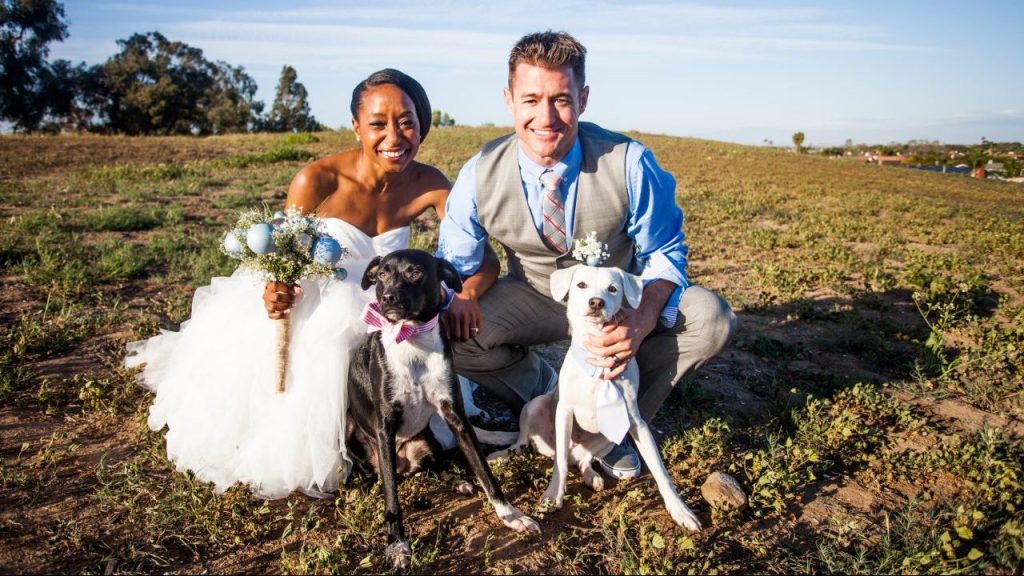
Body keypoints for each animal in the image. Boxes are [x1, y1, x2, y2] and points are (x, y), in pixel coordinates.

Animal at [348, 249, 540, 565]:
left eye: (415, 272)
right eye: (382, 274)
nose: (388, 297)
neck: (412, 340)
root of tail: (405, 467)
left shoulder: (454, 415)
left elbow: (485, 472)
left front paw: (511, 515)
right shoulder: (385, 426)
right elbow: (391, 497)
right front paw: (397, 544)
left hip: (425, 441)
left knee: (434, 464)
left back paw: (456, 480)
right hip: (356, 437)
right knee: (375, 474)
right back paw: (364, 486)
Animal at [485, 264, 696, 528]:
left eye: (613, 288)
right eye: (581, 285)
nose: (596, 302)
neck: (598, 356)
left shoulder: (637, 423)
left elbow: (660, 471)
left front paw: (680, 510)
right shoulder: (564, 412)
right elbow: (560, 465)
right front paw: (553, 495)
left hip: (609, 437)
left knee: (584, 460)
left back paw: (591, 476)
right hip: (534, 406)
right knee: (525, 445)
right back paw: (501, 456)